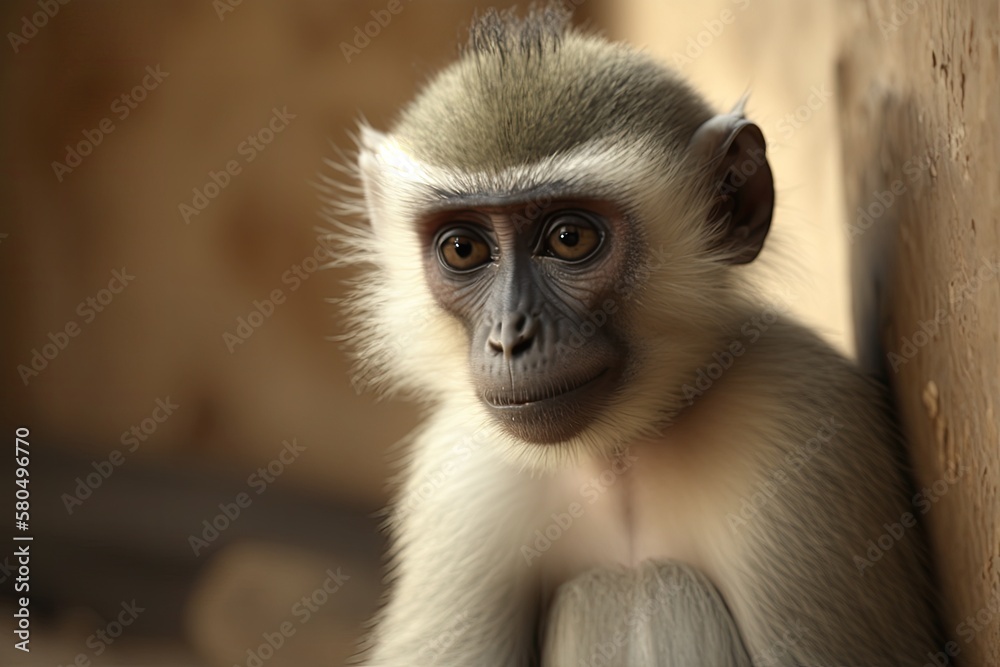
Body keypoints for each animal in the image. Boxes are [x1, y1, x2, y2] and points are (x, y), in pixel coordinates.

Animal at [326, 6, 936, 667]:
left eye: (569, 238)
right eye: (463, 248)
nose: (510, 338)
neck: (623, 452)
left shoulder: (802, 417)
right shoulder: (461, 477)